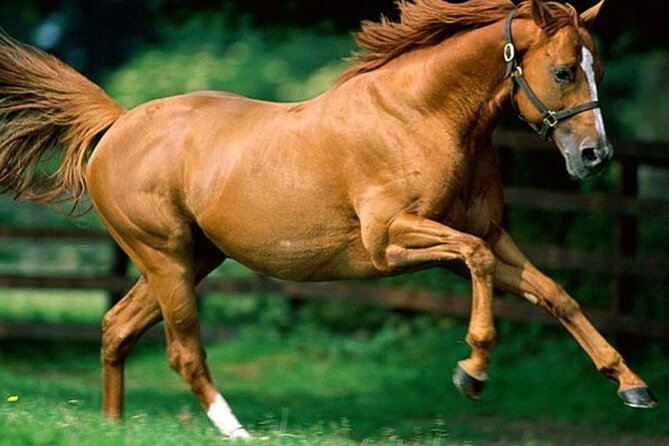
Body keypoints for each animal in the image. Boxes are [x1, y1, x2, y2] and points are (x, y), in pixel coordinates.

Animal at [0, 0, 658, 439]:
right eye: (565, 71)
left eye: (598, 67)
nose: (595, 156)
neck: (421, 115)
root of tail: (117, 124)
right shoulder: (391, 243)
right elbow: (478, 263)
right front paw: (471, 372)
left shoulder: (492, 234)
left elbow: (555, 294)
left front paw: (633, 386)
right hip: (164, 257)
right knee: (183, 350)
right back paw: (239, 432)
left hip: (192, 257)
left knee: (116, 328)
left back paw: (114, 427)